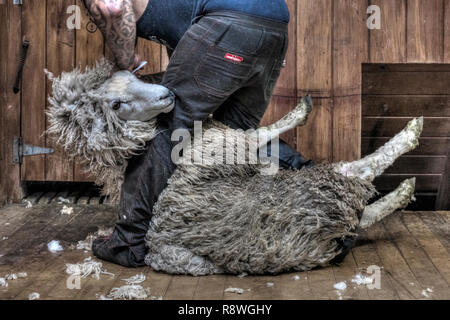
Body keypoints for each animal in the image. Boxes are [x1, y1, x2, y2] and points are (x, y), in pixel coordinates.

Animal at [45, 59, 422, 276]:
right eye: (116, 104)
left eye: (127, 75)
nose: (167, 93)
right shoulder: (228, 144)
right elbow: (264, 132)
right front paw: (300, 112)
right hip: (310, 193)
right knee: (355, 174)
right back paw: (408, 152)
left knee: (363, 215)